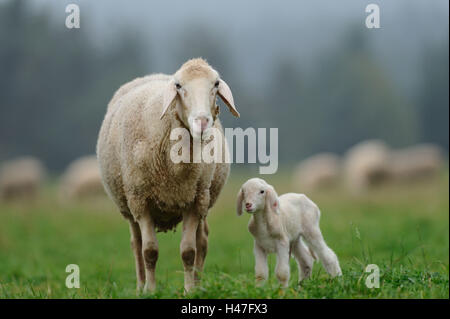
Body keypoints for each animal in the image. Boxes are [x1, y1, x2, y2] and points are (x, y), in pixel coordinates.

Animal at [97, 58, 241, 294]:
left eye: (216, 84)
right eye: (178, 86)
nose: (202, 122)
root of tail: (151, 75)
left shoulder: (193, 200)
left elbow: (189, 251)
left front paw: (190, 290)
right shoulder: (141, 201)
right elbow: (149, 251)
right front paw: (151, 291)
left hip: (205, 198)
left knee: (202, 241)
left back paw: (199, 284)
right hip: (129, 205)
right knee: (136, 244)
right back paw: (140, 286)